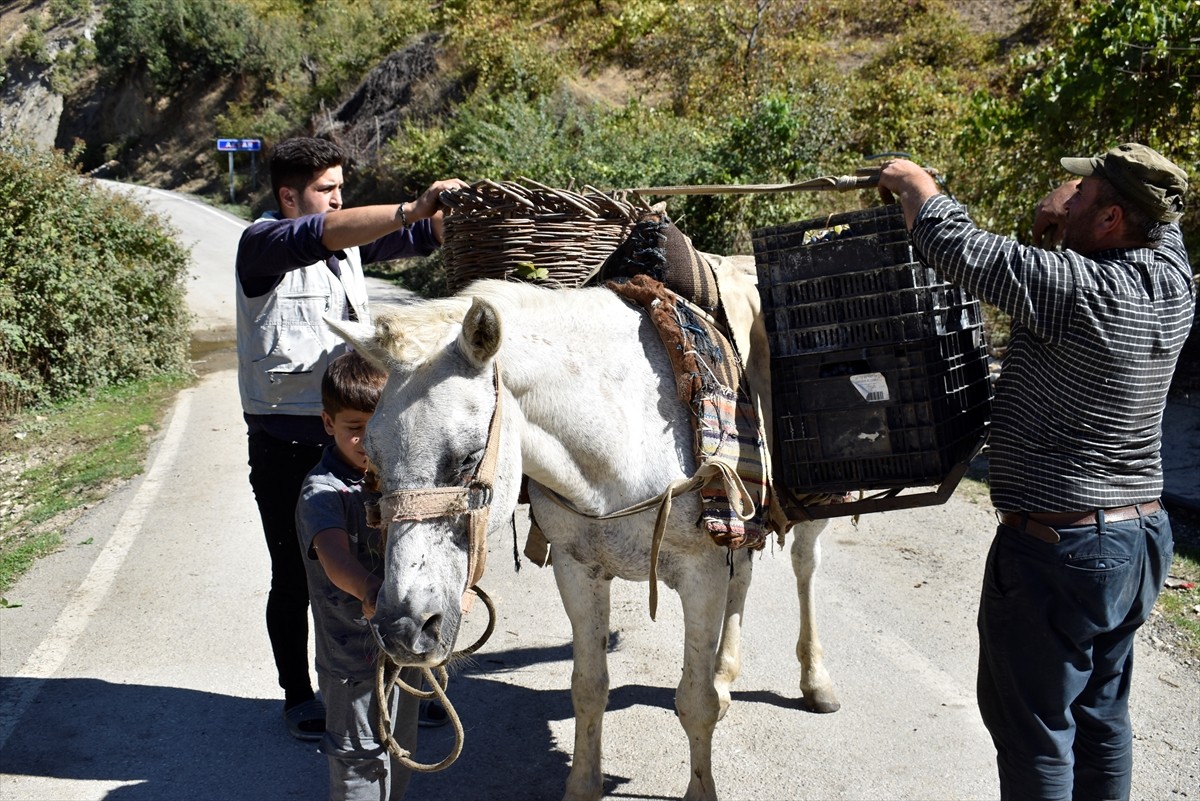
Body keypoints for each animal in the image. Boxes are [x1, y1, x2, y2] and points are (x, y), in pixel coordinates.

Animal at [328, 276, 835, 801]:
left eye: (467, 459)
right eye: (372, 462)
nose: (402, 628)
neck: (626, 434)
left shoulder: (702, 575)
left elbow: (696, 703)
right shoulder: (579, 570)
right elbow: (588, 688)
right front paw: (582, 784)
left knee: (804, 565)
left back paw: (815, 681)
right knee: (746, 576)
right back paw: (726, 674)